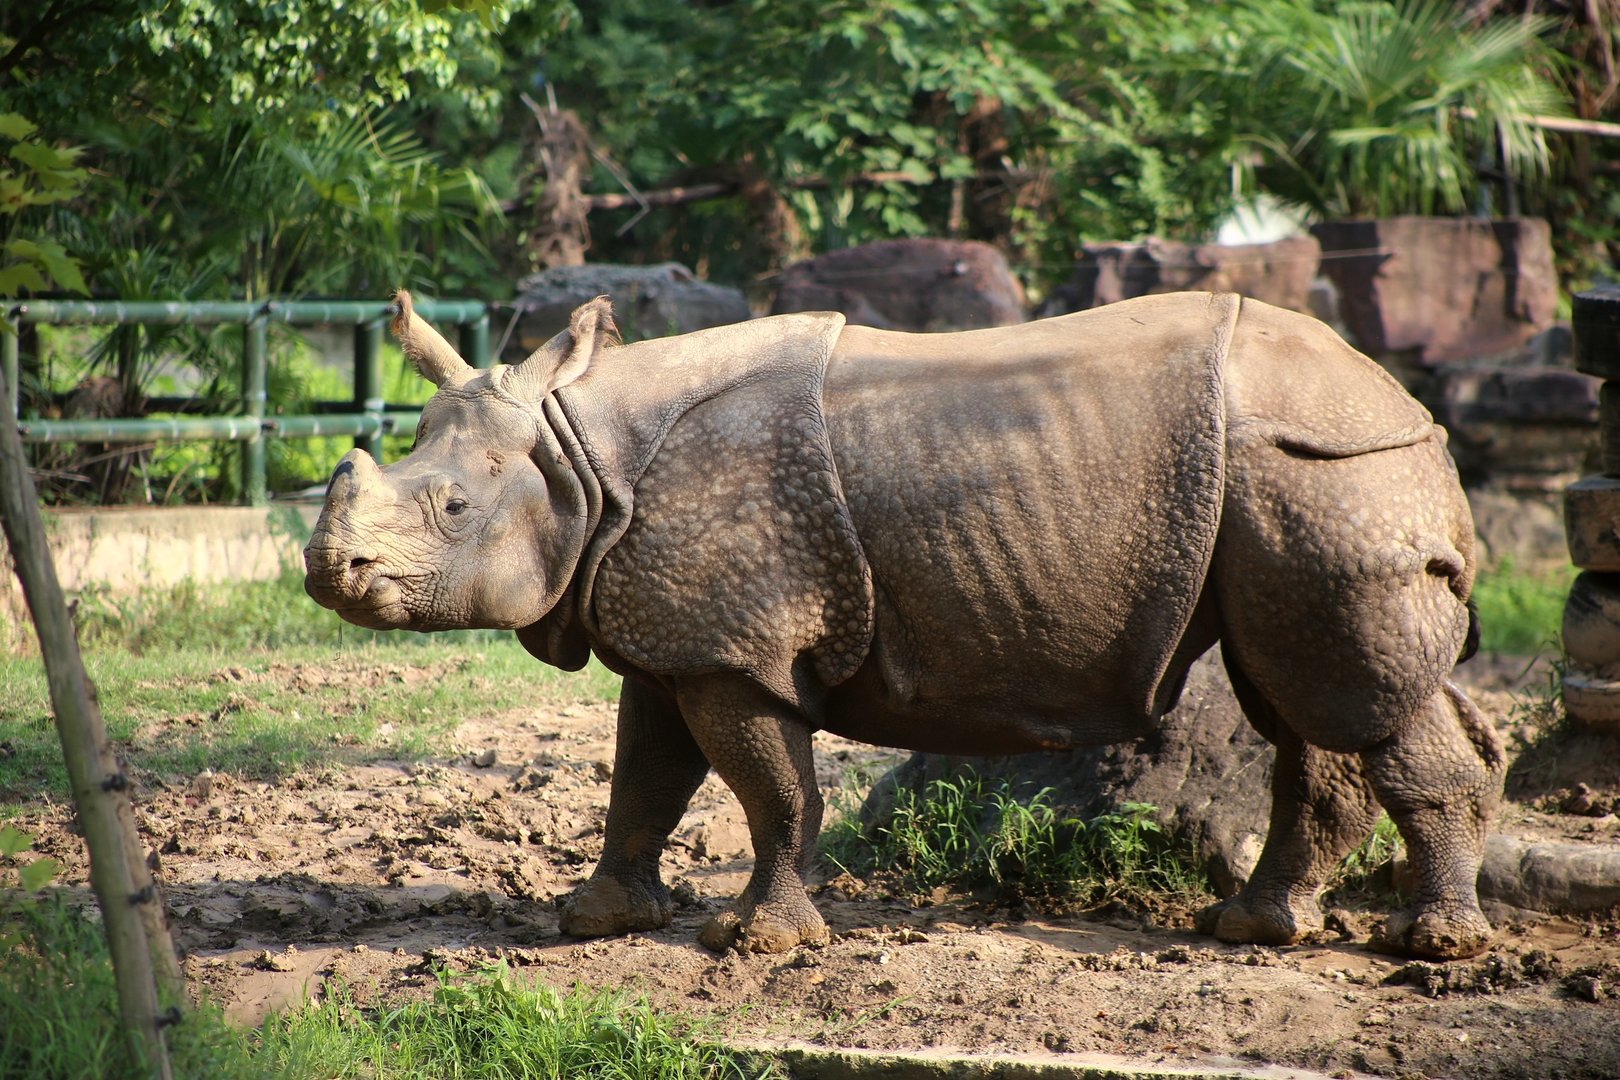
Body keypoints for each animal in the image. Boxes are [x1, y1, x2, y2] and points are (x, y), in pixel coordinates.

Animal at [304, 290, 1504, 960]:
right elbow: (644, 774)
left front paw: (753, 943)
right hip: (1300, 481)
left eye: (452, 510)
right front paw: (596, 920)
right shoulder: (677, 632)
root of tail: (1406, 405)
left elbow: (770, 787)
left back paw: (1433, 950)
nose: (327, 572)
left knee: (1349, 699)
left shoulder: (736, 644)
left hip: (1325, 470)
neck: (579, 456)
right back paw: (1254, 930)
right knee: (1306, 697)